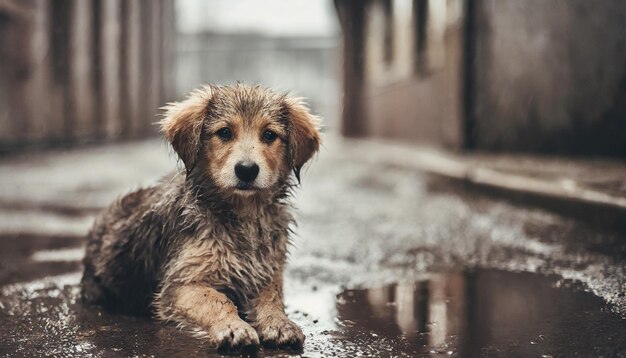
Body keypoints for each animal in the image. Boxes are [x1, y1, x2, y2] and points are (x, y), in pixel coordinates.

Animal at [80, 84, 320, 350]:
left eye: (269, 135)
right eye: (224, 132)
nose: (246, 170)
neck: (242, 215)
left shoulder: (267, 273)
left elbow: (273, 299)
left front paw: (279, 323)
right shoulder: (180, 284)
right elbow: (218, 300)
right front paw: (233, 327)